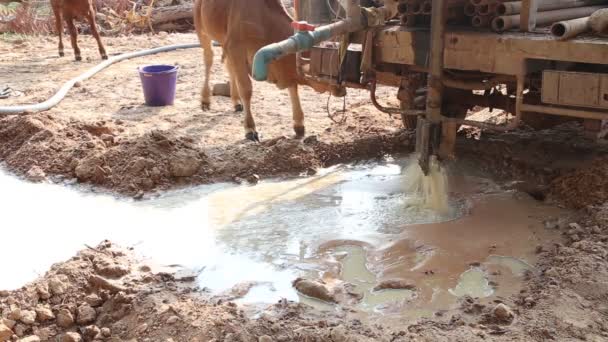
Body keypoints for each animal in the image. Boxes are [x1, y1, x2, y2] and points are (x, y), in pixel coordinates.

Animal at [194, 0, 330, 142]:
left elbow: (293, 87)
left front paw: (299, 125)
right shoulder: (235, 48)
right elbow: (246, 89)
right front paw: (250, 129)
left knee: (229, 67)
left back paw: (236, 102)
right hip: (201, 29)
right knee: (208, 59)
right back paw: (205, 100)